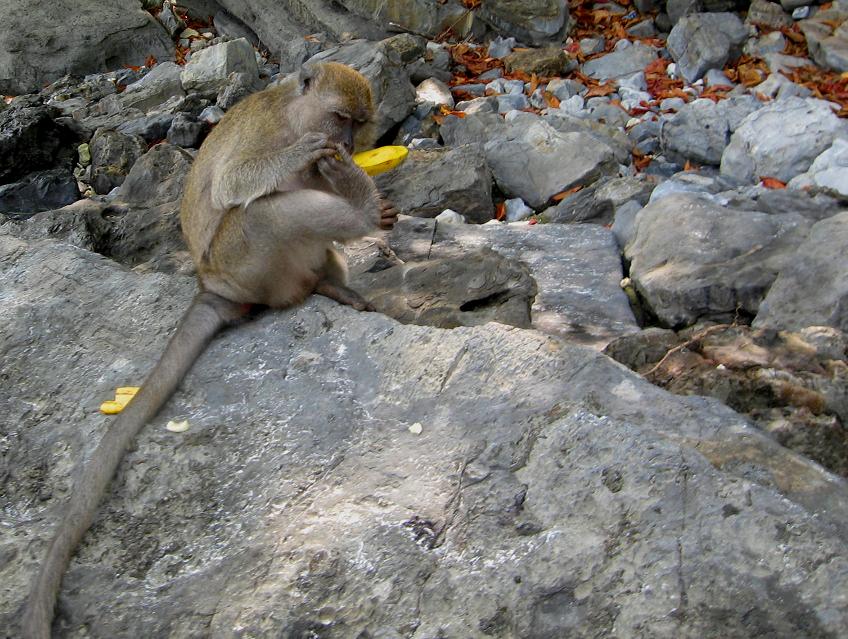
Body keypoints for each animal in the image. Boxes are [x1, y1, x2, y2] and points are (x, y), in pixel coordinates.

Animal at [22, 61, 398, 638]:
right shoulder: (269, 135)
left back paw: (334, 277)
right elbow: (236, 183)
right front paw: (310, 156)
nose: (350, 145)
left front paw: (341, 171)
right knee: (263, 212)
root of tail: (212, 286)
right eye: (341, 118)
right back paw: (361, 211)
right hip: (246, 261)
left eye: (360, 123)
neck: (293, 114)